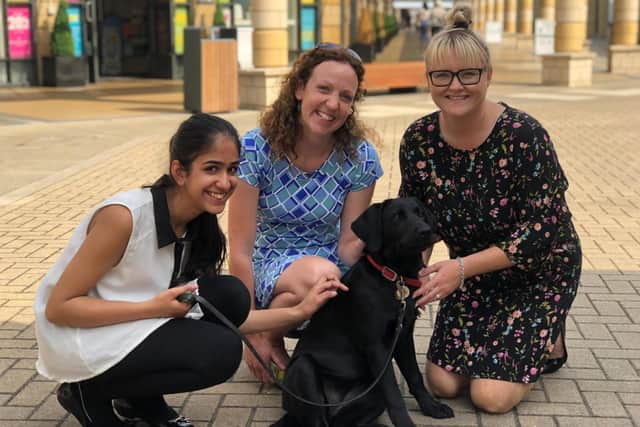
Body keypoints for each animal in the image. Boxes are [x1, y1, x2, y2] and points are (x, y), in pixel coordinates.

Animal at [272, 198, 452, 427]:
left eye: (420, 213)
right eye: (397, 217)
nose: (425, 231)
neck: (395, 277)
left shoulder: (403, 335)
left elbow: (414, 376)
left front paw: (431, 407)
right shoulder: (375, 346)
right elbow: (393, 391)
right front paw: (405, 422)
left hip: (371, 392)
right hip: (303, 368)